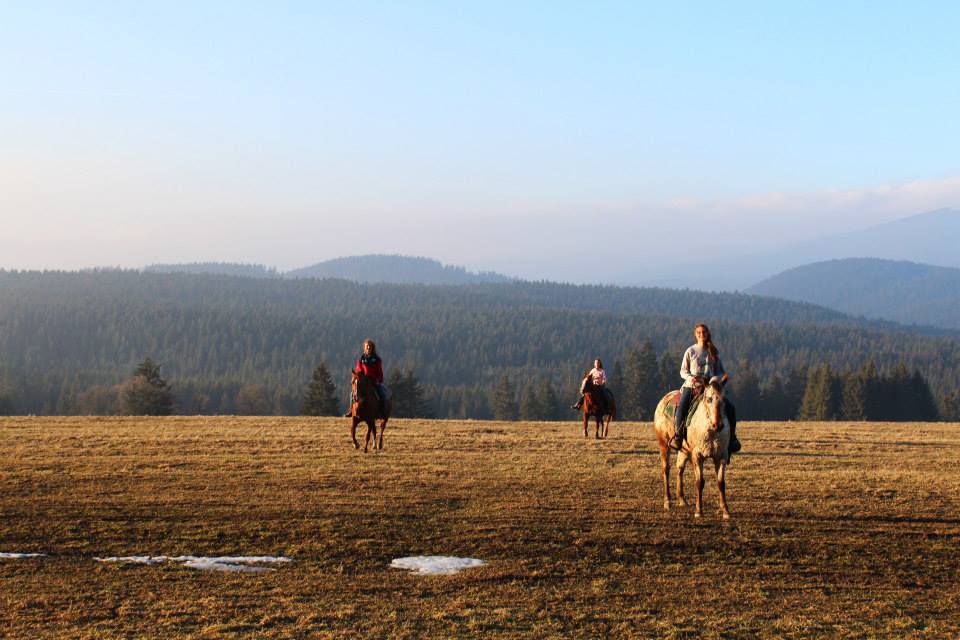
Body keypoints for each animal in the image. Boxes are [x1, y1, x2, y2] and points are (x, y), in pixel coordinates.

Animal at [656, 380, 732, 520]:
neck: (711, 431)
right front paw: (698, 511)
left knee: (679, 469)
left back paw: (682, 499)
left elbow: (721, 483)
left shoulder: (721, 456)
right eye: (708, 399)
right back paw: (667, 501)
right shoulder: (698, 455)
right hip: (664, 444)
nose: (718, 425)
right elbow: (699, 481)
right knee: (666, 469)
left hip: (684, 450)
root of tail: (664, 399)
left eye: (724, 399)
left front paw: (725, 510)